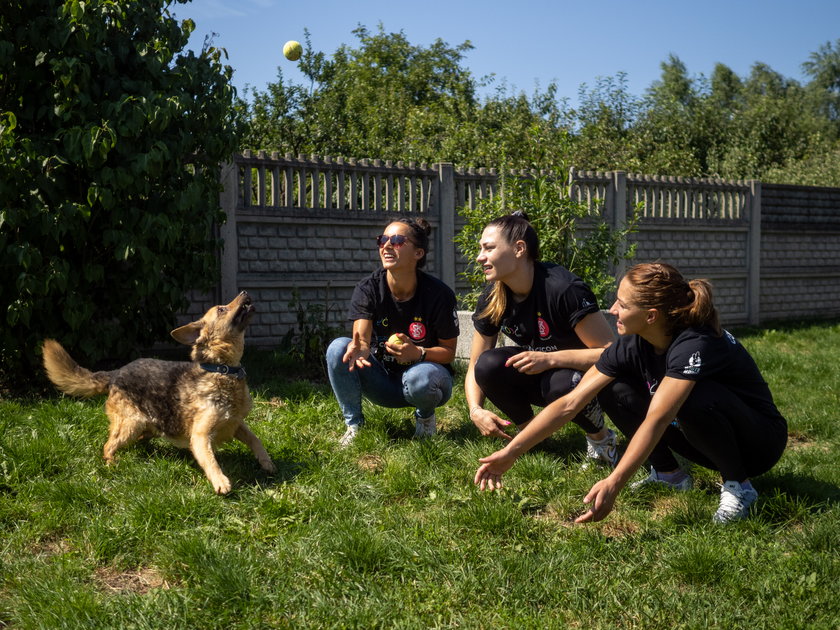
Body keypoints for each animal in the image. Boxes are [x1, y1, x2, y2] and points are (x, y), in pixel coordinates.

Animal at [41, 292, 276, 494]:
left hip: (149, 425)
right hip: (131, 424)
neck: (221, 370)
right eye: (221, 309)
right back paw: (111, 464)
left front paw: (266, 462)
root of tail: (115, 373)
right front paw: (220, 481)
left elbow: (255, 440)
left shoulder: (236, 424)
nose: (245, 292)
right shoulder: (200, 436)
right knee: (108, 446)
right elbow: (211, 461)